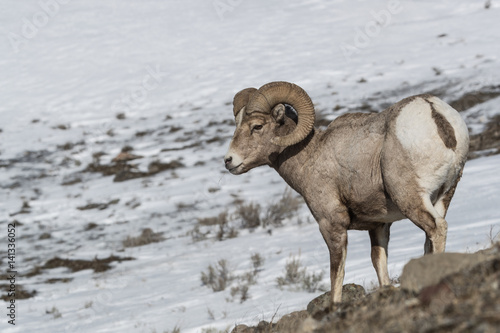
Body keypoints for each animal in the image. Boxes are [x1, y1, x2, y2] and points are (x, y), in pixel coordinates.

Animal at [225, 81, 470, 304]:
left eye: (257, 126)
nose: (229, 161)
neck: (310, 156)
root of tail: (433, 112)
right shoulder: (379, 225)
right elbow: (379, 262)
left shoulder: (331, 224)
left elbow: (336, 273)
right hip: (443, 196)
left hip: (410, 198)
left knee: (436, 228)